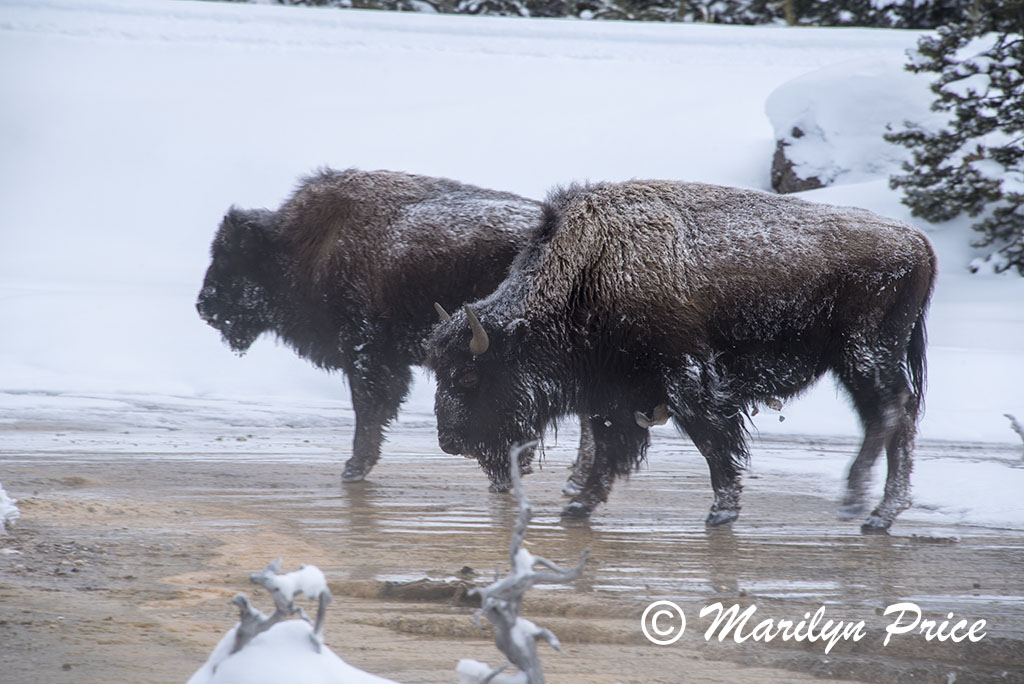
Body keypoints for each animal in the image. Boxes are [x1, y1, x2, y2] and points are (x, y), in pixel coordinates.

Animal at [197, 167, 593, 490]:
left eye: (229, 257)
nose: (203, 306)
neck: (308, 245)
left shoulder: (365, 352)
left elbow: (369, 408)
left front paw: (353, 468)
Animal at [426, 180, 936, 533]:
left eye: (469, 377)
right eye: (441, 373)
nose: (449, 441)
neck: (587, 277)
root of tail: (918, 243)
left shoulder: (687, 382)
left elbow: (712, 443)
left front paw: (721, 512)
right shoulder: (612, 398)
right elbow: (610, 449)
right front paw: (577, 506)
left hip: (863, 356)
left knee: (888, 413)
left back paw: (857, 502)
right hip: (868, 360)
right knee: (899, 418)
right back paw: (880, 515)